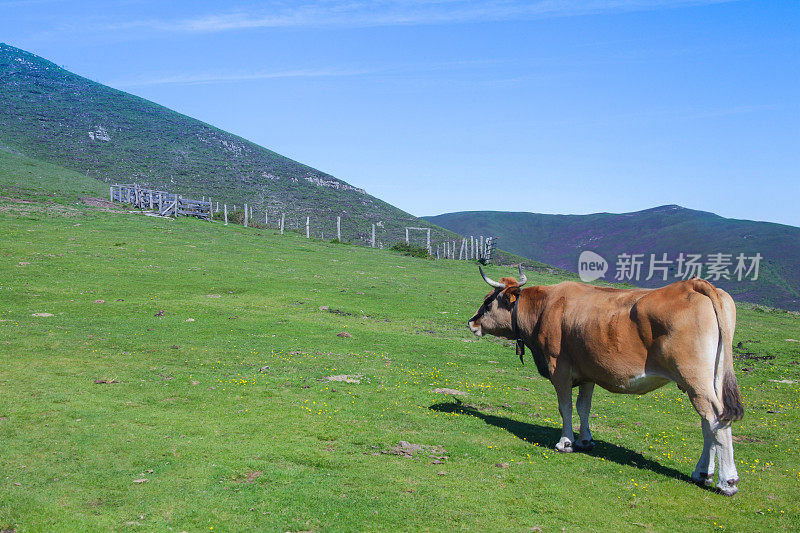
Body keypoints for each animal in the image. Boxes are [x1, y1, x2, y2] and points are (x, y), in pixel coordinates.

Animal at [468, 266, 744, 494]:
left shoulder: (559, 368)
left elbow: (565, 407)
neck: (545, 308)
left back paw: (727, 481)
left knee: (716, 419)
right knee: (708, 422)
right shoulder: (587, 371)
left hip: (694, 379)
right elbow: (583, 407)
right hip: (710, 380)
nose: (472, 322)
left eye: (488, 303)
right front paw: (585, 440)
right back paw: (702, 472)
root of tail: (693, 284)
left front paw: (566, 442)